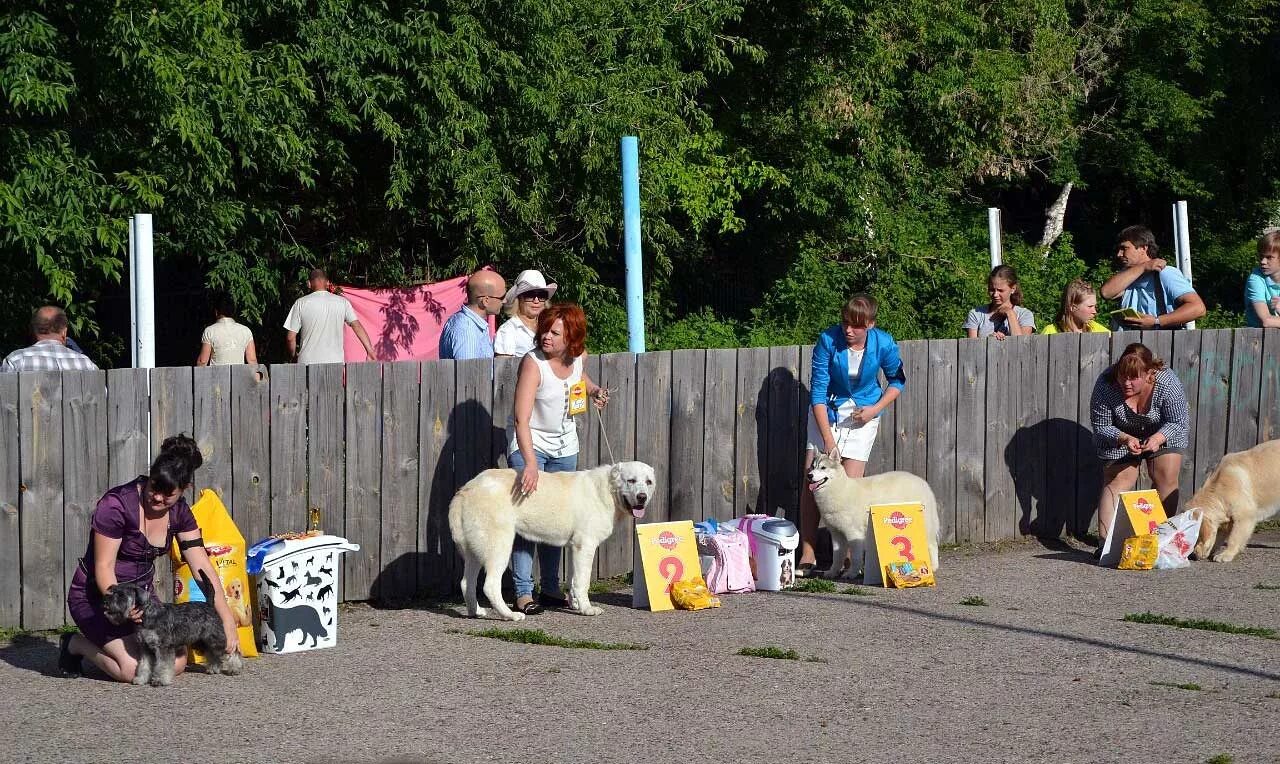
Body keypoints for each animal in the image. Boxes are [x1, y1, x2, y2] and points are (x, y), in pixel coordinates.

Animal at [101, 573, 243, 685]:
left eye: (121, 595)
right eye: (111, 592)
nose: (105, 602)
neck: (148, 614)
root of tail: (209, 605)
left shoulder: (163, 647)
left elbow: (162, 665)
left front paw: (159, 680)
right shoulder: (145, 648)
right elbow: (144, 665)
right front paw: (140, 679)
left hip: (215, 639)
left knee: (231, 652)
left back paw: (234, 669)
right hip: (202, 641)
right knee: (212, 654)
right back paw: (214, 668)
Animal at [448, 458, 655, 619]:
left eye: (649, 482)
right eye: (631, 480)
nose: (642, 497)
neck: (607, 491)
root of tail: (466, 489)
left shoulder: (574, 548)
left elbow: (573, 580)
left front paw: (576, 604)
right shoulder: (586, 546)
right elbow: (582, 582)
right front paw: (587, 609)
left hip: (474, 549)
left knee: (466, 583)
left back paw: (476, 612)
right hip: (499, 546)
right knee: (490, 585)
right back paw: (510, 615)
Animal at [808, 447, 942, 578]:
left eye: (823, 468)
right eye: (812, 467)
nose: (809, 475)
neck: (838, 489)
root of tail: (922, 482)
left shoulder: (854, 533)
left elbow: (855, 558)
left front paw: (851, 573)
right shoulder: (836, 534)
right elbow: (837, 557)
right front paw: (832, 572)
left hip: (924, 524)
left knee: (933, 545)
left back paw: (933, 566)